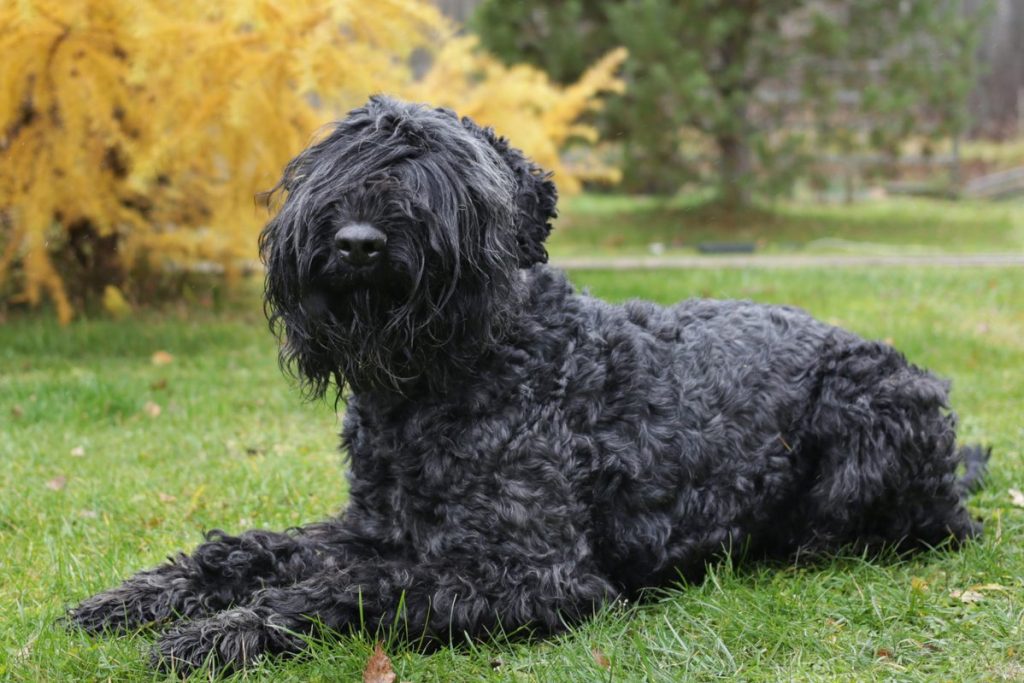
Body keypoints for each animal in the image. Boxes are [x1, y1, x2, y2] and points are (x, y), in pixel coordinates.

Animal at [68, 96, 987, 671]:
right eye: (334, 164)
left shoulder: (533, 574)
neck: (435, 384)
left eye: (443, 174)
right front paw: (147, 595)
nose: (358, 241)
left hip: (870, 414)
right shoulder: (375, 526)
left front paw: (229, 630)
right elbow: (247, 548)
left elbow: (344, 589)